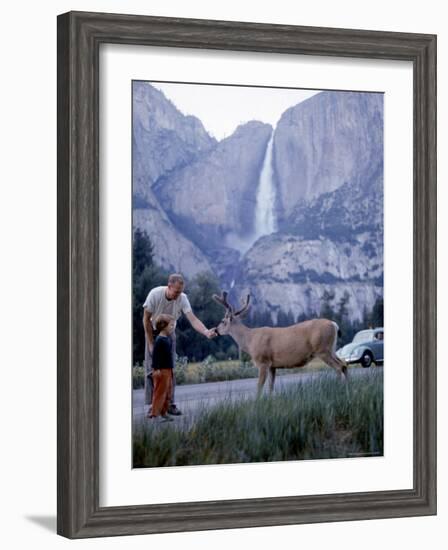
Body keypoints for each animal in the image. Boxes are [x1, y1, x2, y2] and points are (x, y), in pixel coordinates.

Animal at [212, 292, 348, 394]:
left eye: (222, 321)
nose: (215, 330)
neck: (249, 340)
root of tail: (334, 324)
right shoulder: (273, 365)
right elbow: (271, 387)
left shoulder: (263, 361)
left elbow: (259, 386)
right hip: (331, 348)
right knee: (344, 364)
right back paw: (348, 387)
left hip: (322, 349)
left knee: (338, 367)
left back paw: (339, 389)